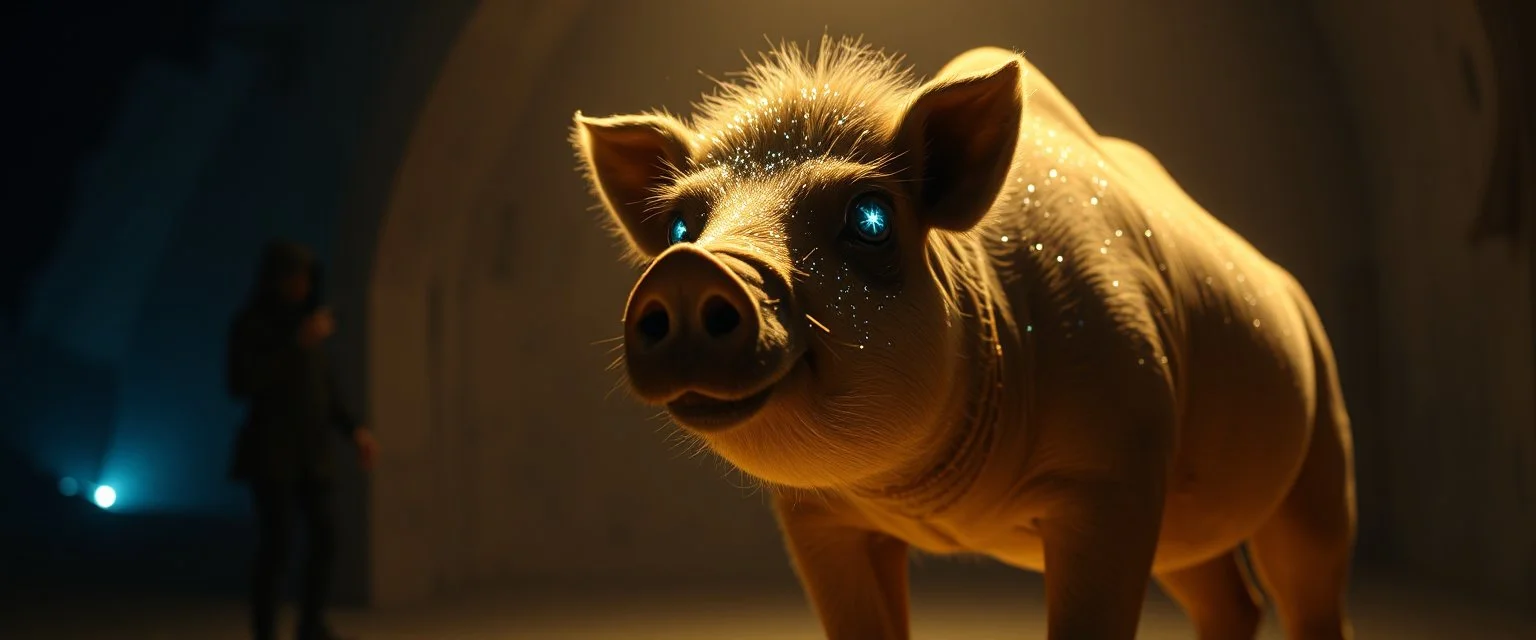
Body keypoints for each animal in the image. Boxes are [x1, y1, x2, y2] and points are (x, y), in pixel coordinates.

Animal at [572, 38, 1356, 640]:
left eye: (872, 218)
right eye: (680, 225)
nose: (689, 270)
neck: (937, 505)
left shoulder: (1116, 473)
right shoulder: (815, 517)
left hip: (1322, 444)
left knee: (1306, 578)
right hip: (1190, 529)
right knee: (1231, 598)